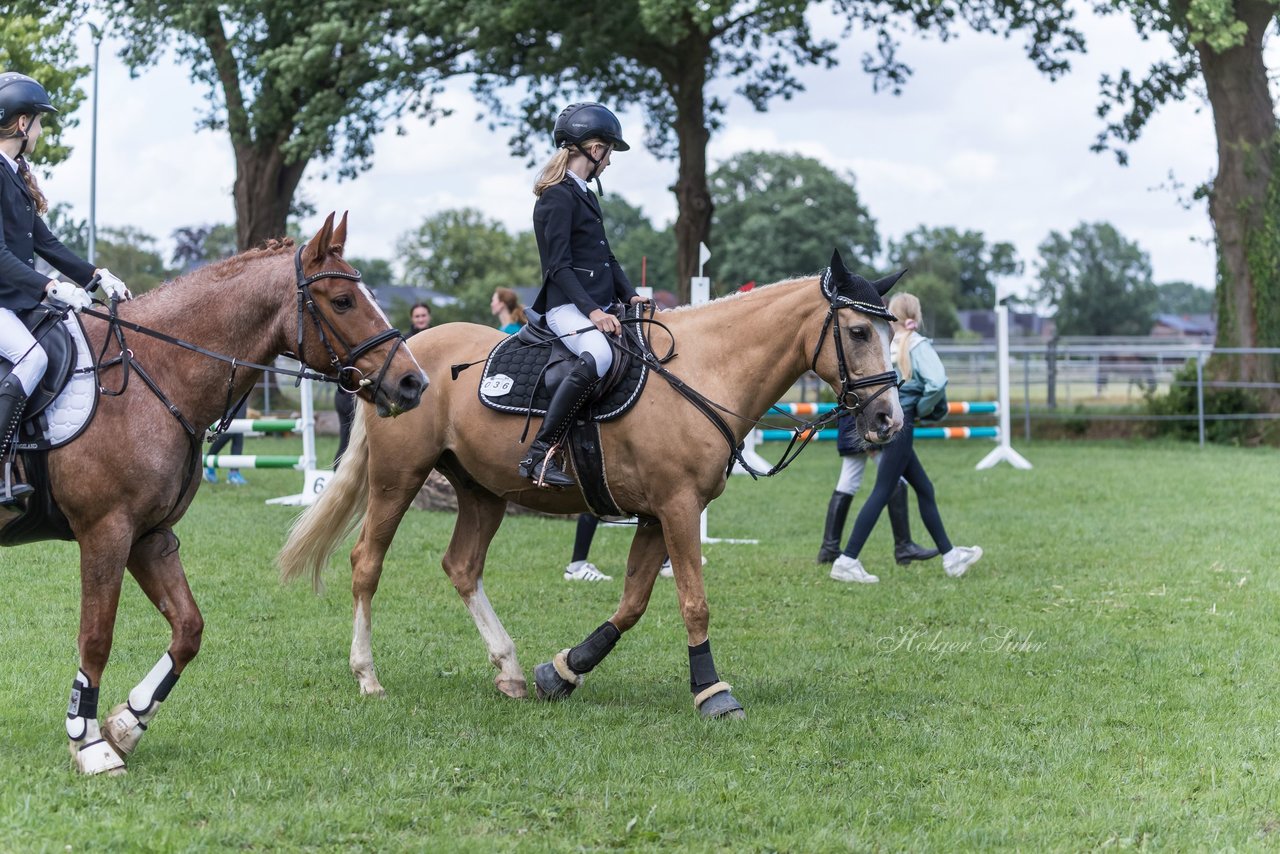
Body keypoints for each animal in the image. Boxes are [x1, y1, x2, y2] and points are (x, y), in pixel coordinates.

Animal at [2, 213, 427, 773]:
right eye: (341, 301)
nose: (414, 383)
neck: (152, 372)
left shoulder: (150, 535)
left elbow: (189, 630)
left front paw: (127, 724)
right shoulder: (105, 531)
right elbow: (96, 636)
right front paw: (89, 743)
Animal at [277, 253, 901, 722]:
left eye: (890, 330)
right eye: (858, 331)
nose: (888, 420)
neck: (701, 371)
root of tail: (400, 357)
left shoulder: (656, 515)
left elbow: (632, 604)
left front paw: (562, 671)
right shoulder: (678, 507)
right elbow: (693, 603)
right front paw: (713, 693)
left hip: (482, 490)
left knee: (462, 566)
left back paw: (510, 670)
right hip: (397, 478)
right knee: (366, 562)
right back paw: (368, 676)